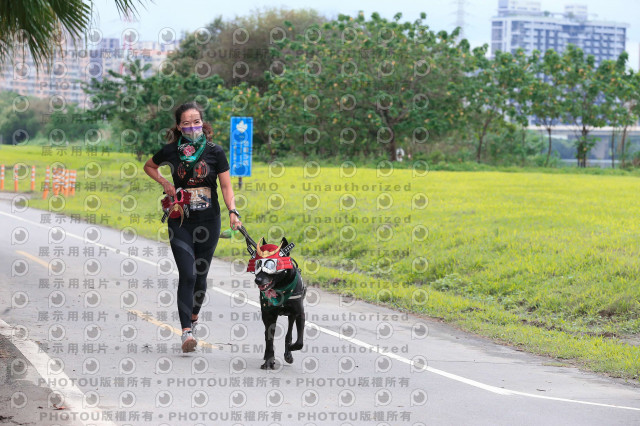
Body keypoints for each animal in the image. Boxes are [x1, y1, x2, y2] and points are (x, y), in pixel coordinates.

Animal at [238, 226, 308, 370]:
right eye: (257, 265)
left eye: (271, 265)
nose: (257, 280)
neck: (280, 286)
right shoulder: (269, 314)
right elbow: (269, 338)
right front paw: (269, 360)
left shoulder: (299, 313)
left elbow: (299, 342)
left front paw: (290, 350)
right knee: (267, 335)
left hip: (291, 315)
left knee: (289, 334)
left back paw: (288, 352)